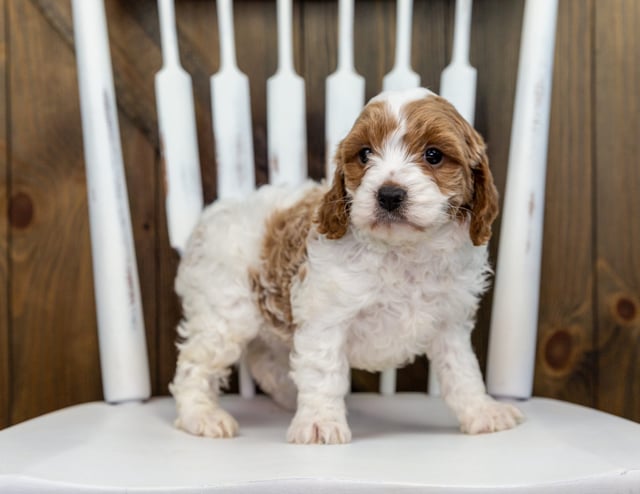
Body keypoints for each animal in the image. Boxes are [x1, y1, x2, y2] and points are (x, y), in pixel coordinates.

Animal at [171, 86, 524, 444]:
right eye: (365, 154)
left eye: (434, 155)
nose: (389, 194)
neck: (402, 251)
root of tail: (208, 217)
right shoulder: (326, 317)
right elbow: (323, 370)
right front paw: (319, 422)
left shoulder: (450, 322)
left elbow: (462, 371)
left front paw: (482, 411)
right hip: (224, 313)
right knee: (195, 364)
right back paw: (202, 415)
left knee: (264, 360)